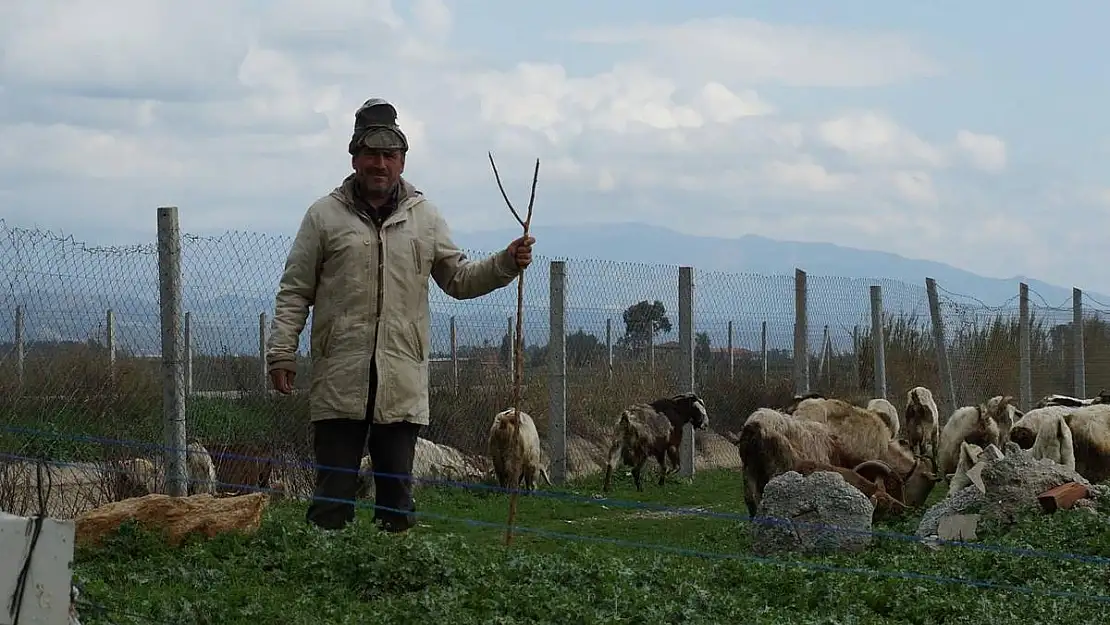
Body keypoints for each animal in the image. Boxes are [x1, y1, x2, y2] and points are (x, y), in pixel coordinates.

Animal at [737, 408, 936, 515]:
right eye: (895, 484)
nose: (907, 510)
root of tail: (756, 425)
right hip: (777, 470)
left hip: (749, 472)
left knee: (751, 500)